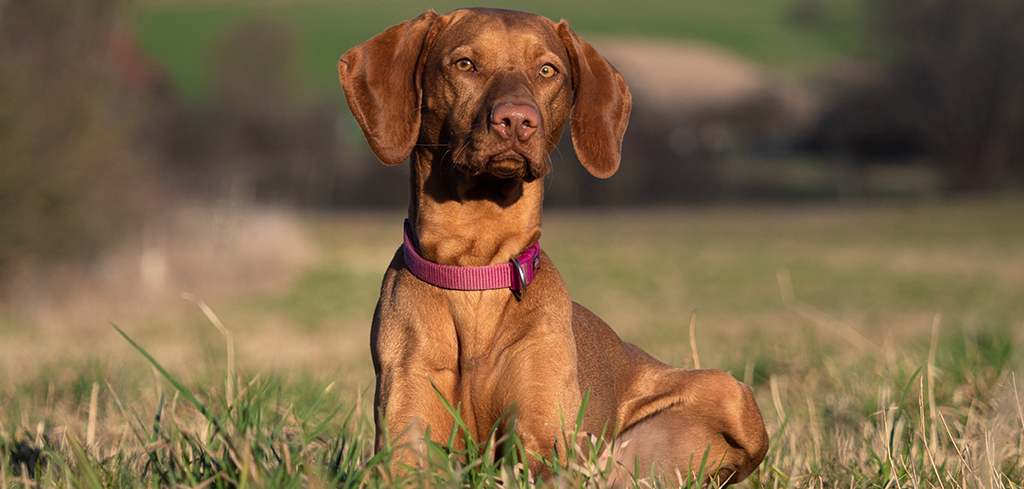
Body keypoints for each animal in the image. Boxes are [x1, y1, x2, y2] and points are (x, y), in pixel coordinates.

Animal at [337, 7, 770, 484]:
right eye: (465, 64)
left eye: (547, 70)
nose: (516, 119)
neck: (476, 270)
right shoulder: (406, 446)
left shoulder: (544, 445)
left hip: (730, 391)